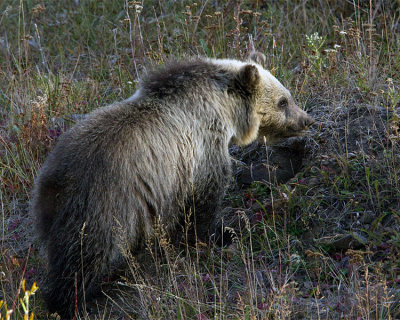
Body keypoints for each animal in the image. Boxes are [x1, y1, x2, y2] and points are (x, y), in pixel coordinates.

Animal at [32, 52, 312, 318]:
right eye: (283, 101)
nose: (306, 120)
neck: (223, 109)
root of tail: (54, 179)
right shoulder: (201, 153)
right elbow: (202, 205)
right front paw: (218, 235)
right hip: (104, 203)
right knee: (83, 258)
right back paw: (72, 303)